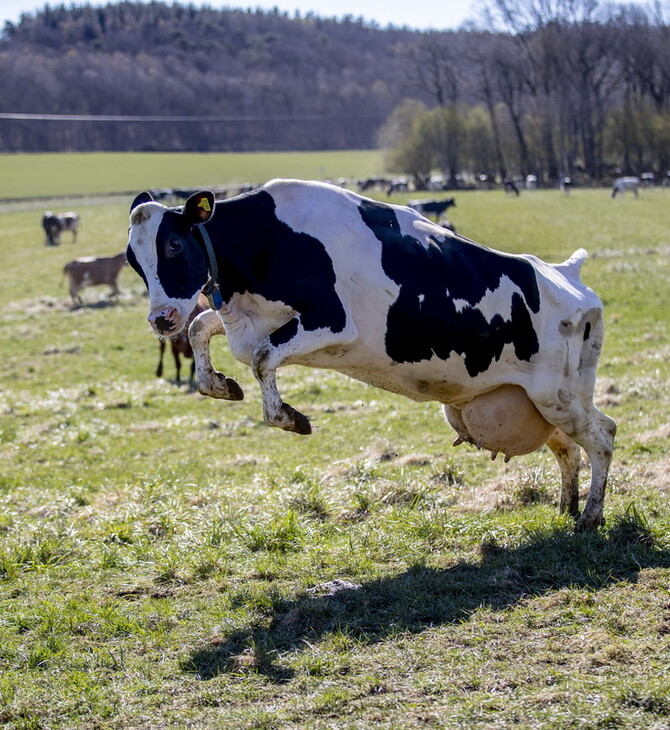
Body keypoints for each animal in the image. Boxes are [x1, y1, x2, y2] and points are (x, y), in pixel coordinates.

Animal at [127, 176, 620, 528]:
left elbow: (264, 358)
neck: (268, 241)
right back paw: (566, 507)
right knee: (568, 448)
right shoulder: (245, 322)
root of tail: (564, 274)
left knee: (603, 436)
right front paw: (219, 384)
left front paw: (290, 417)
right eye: (134, 261)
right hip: (541, 402)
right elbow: (200, 328)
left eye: (173, 244)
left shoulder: (330, 321)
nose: (160, 319)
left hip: (559, 394)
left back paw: (591, 517)